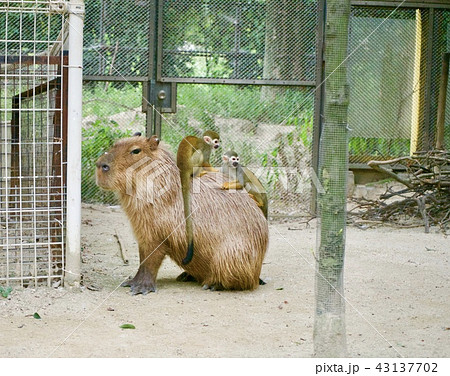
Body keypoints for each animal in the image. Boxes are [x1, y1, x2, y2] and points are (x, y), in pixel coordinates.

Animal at [176, 131, 220, 266]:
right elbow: (205, 160)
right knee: (199, 154)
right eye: (215, 141)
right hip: (192, 165)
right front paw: (215, 169)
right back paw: (198, 174)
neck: (205, 142)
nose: (218, 145)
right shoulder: (206, 148)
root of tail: (182, 169)